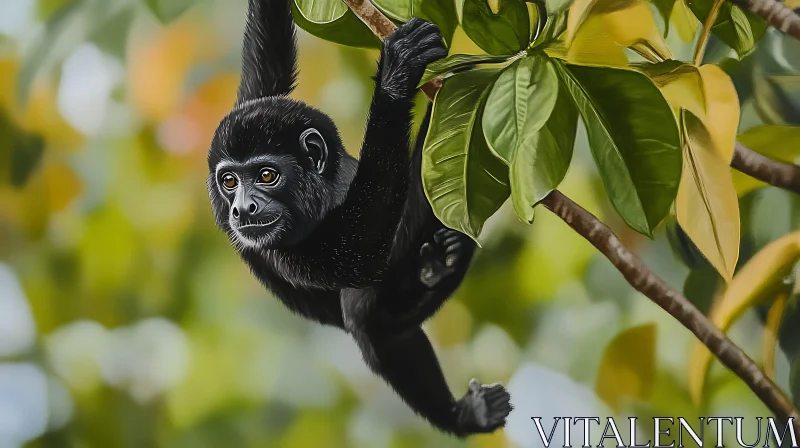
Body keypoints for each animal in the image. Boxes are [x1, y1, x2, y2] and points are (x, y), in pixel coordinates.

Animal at [206, 0, 516, 436]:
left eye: (265, 175)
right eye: (230, 181)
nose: (241, 208)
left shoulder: (254, 105)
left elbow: (268, 62)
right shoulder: (281, 249)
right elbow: (361, 255)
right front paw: (396, 80)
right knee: (369, 321)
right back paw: (464, 413)